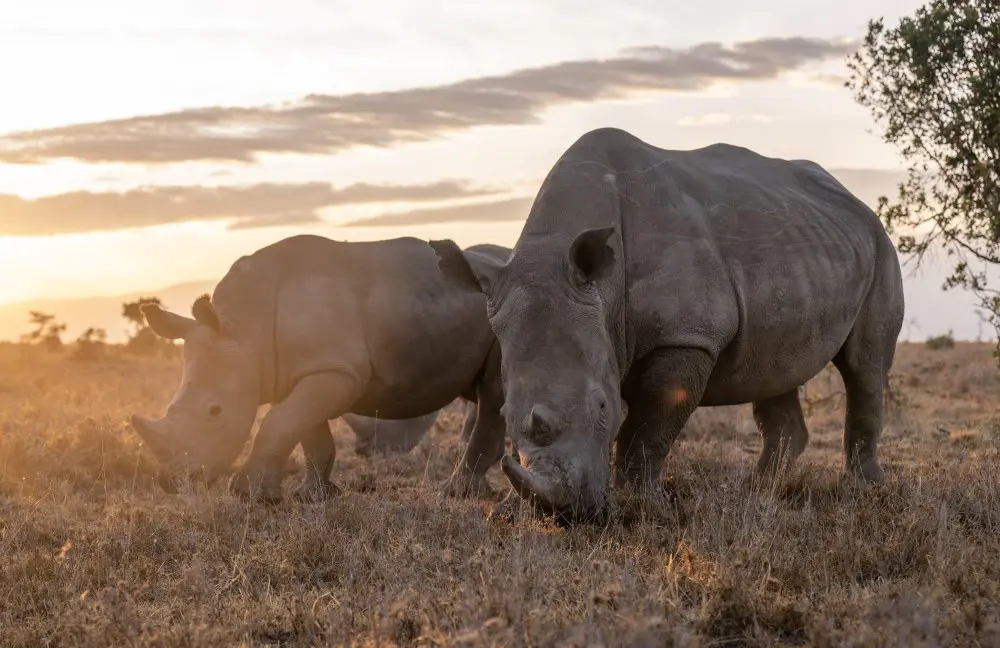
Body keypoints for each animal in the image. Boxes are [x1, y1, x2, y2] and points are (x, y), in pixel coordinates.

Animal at [130, 235, 511, 503]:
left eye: (214, 411)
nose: (173, 483)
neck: (242, 326)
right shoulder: (302, 372)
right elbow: (305, 431)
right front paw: (312, 497)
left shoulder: (337, 371)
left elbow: (276, 423)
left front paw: (249, 495)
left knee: (493, 393)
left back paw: (457, 493)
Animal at [430, 127, 905, 524]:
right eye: (507, 414)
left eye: (602, 406)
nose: (567, 515)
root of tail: (854, 200)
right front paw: (509, 512)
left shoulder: (688, 336)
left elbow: (648, 427)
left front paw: (643, 508)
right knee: (774, 367)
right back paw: (760, 491)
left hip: (880, 245)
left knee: (865, 364)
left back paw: (865, 492)